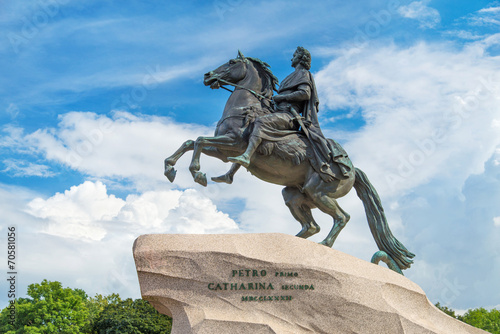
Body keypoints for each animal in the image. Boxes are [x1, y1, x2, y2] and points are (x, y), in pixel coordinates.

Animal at [163, 50, 414, 274]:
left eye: (232, 62)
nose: (207, 76)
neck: (246, 107)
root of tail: (352, 169)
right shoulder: (223, 150)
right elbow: (190, 142)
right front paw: (170, 168)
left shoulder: (233, 143)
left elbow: (199, 141)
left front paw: (197, 173)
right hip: (294, 194)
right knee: (311, 225)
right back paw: (287, 248)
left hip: (318, 192)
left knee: (342, 217)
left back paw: (323, 245)